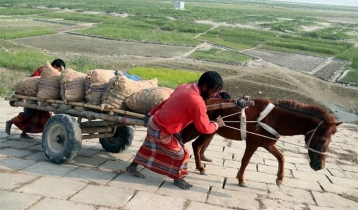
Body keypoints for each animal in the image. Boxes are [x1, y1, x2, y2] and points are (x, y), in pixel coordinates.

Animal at [182, 98, 342, 187]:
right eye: (322, 140)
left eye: (331, 140)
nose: (320, 166)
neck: (274, 118)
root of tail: (204, 102)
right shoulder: (253, 143)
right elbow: (245, 161)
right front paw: (241, 179)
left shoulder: (267, 144)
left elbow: (281, 158)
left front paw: (280, 179)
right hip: (201, 130)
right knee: (187, 141)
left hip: (210, 131)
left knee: (196, 145)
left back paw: (200, 167)